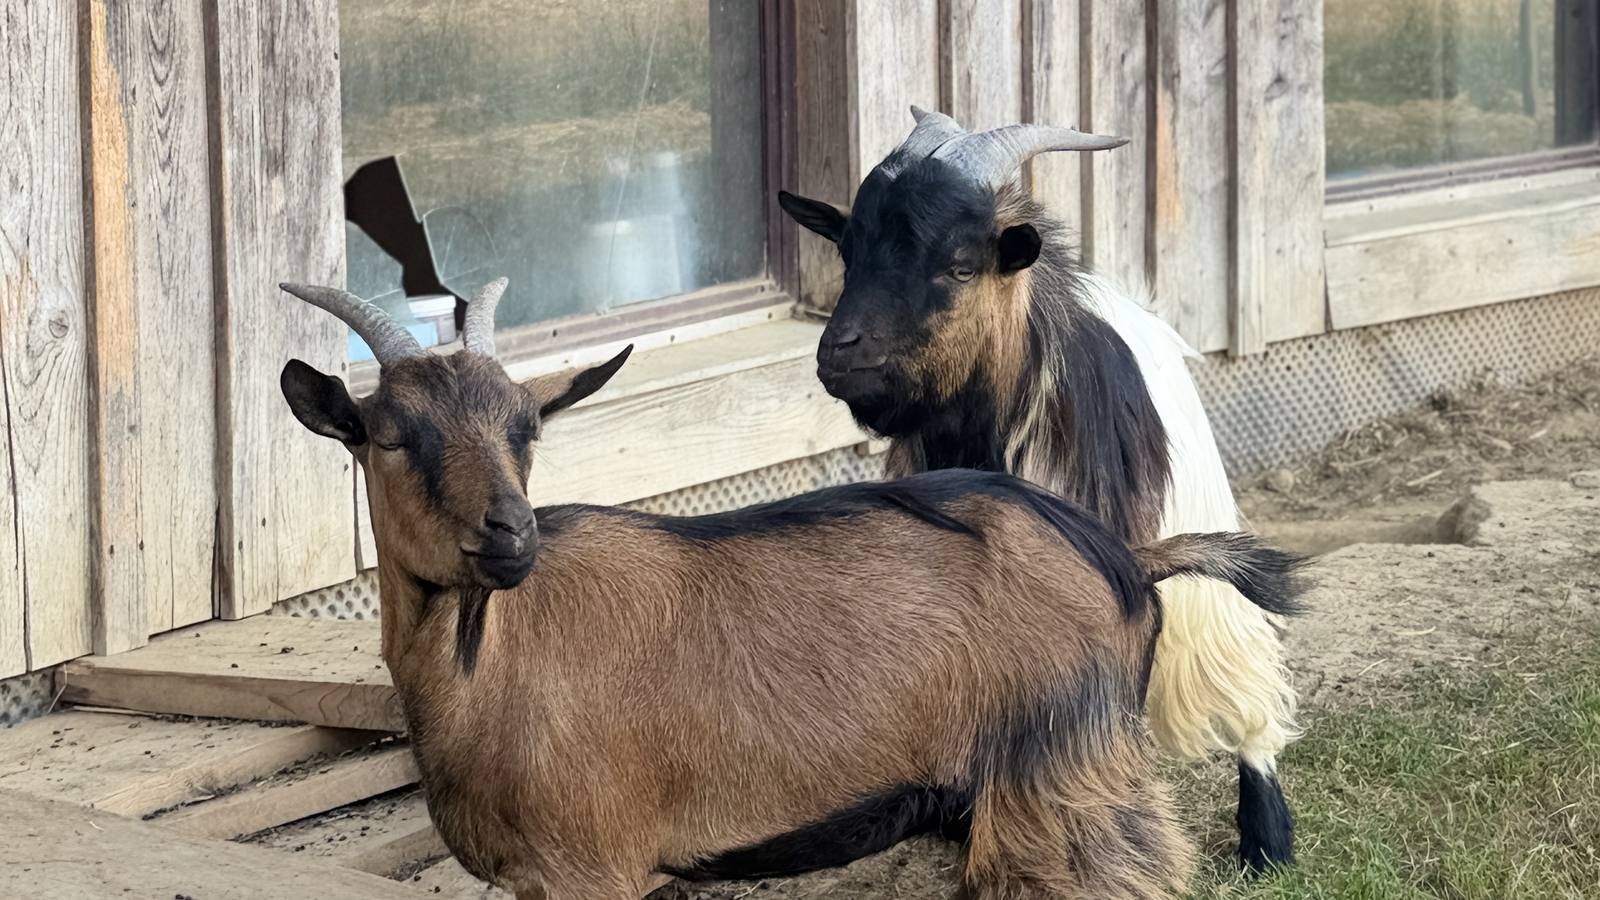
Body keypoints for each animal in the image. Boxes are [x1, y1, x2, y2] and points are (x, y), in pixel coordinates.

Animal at [277, 278, 1305, 899]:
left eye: (526, 426)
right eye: (390, 435)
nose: (510, 534)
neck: (489, 665)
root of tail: (1130, 564)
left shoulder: (592, 864)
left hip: (1060, 775)